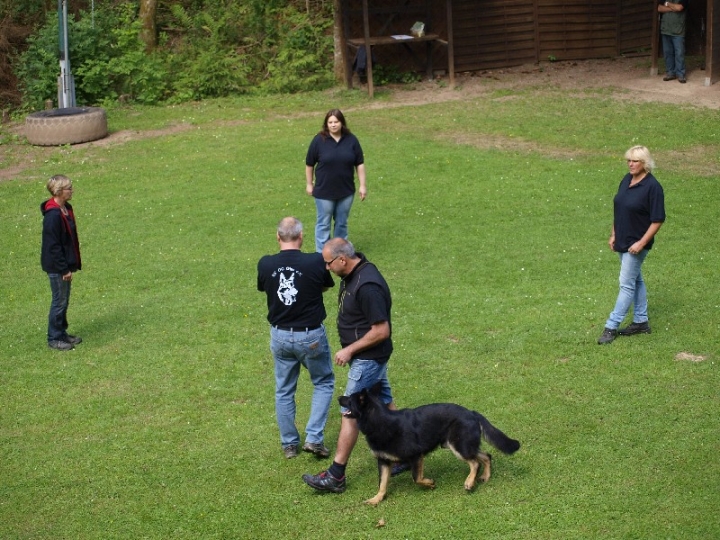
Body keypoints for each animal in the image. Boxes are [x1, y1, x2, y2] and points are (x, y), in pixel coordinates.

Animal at [340, 384, 520, 506]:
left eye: (349, 399)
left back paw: (470, 482)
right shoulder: (384, 462)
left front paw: (430, 483)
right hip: (459, 445)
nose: (339, 398)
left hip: (458, 446)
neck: (378, 420)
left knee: (475, 462)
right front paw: (377, 498)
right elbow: (382, 483)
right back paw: (485, 476)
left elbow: (416, 478)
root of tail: (471, 412)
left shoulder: (416, 456)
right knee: (486, 456)